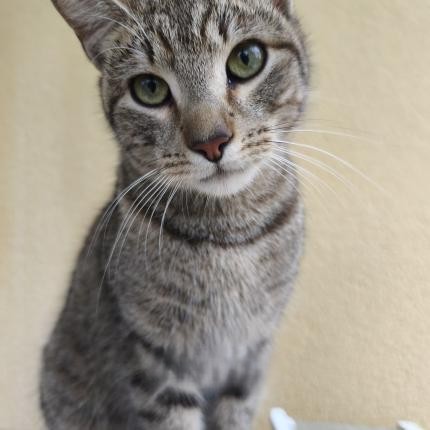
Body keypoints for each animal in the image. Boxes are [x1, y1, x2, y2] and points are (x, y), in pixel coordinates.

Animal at [40, 0, 309, 429]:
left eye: (246, 59)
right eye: (149, 89)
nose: (212, 142)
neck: (229, 235)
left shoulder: (250, 355)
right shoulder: (153, 358)